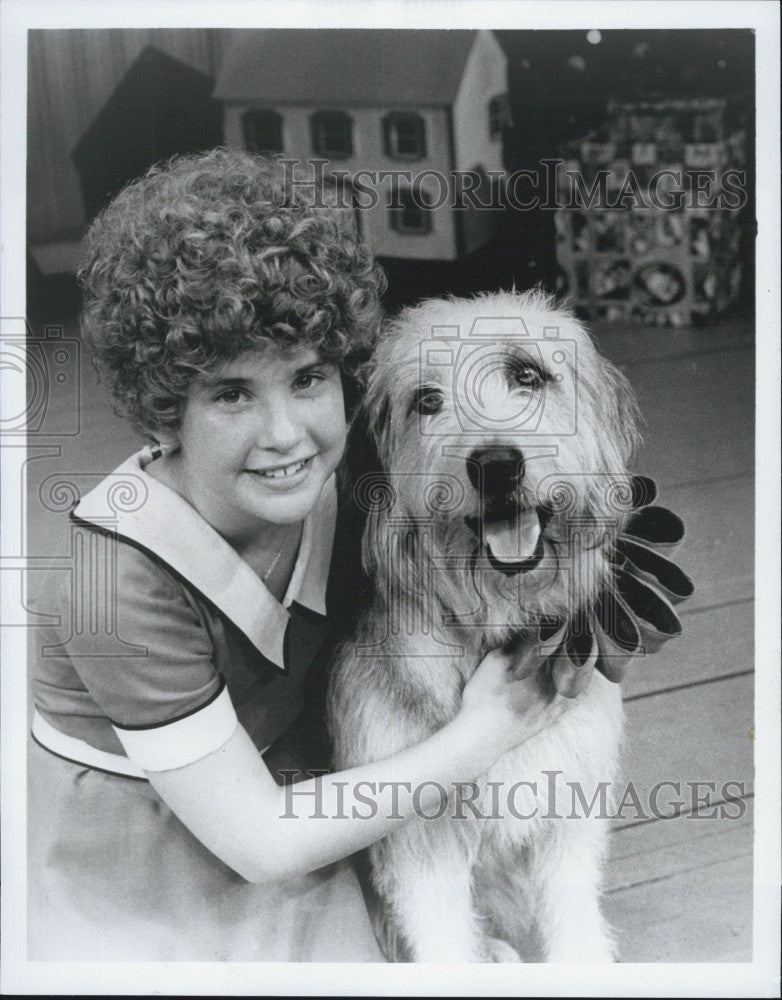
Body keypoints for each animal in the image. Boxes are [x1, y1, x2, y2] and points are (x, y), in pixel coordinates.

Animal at [330, 290, 644, 960]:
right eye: (426, 400)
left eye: (528, 374)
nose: (496, 465)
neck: (498, 628)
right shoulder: (417, 835)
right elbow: (443, 938)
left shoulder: (569, 804)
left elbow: (573, 915)